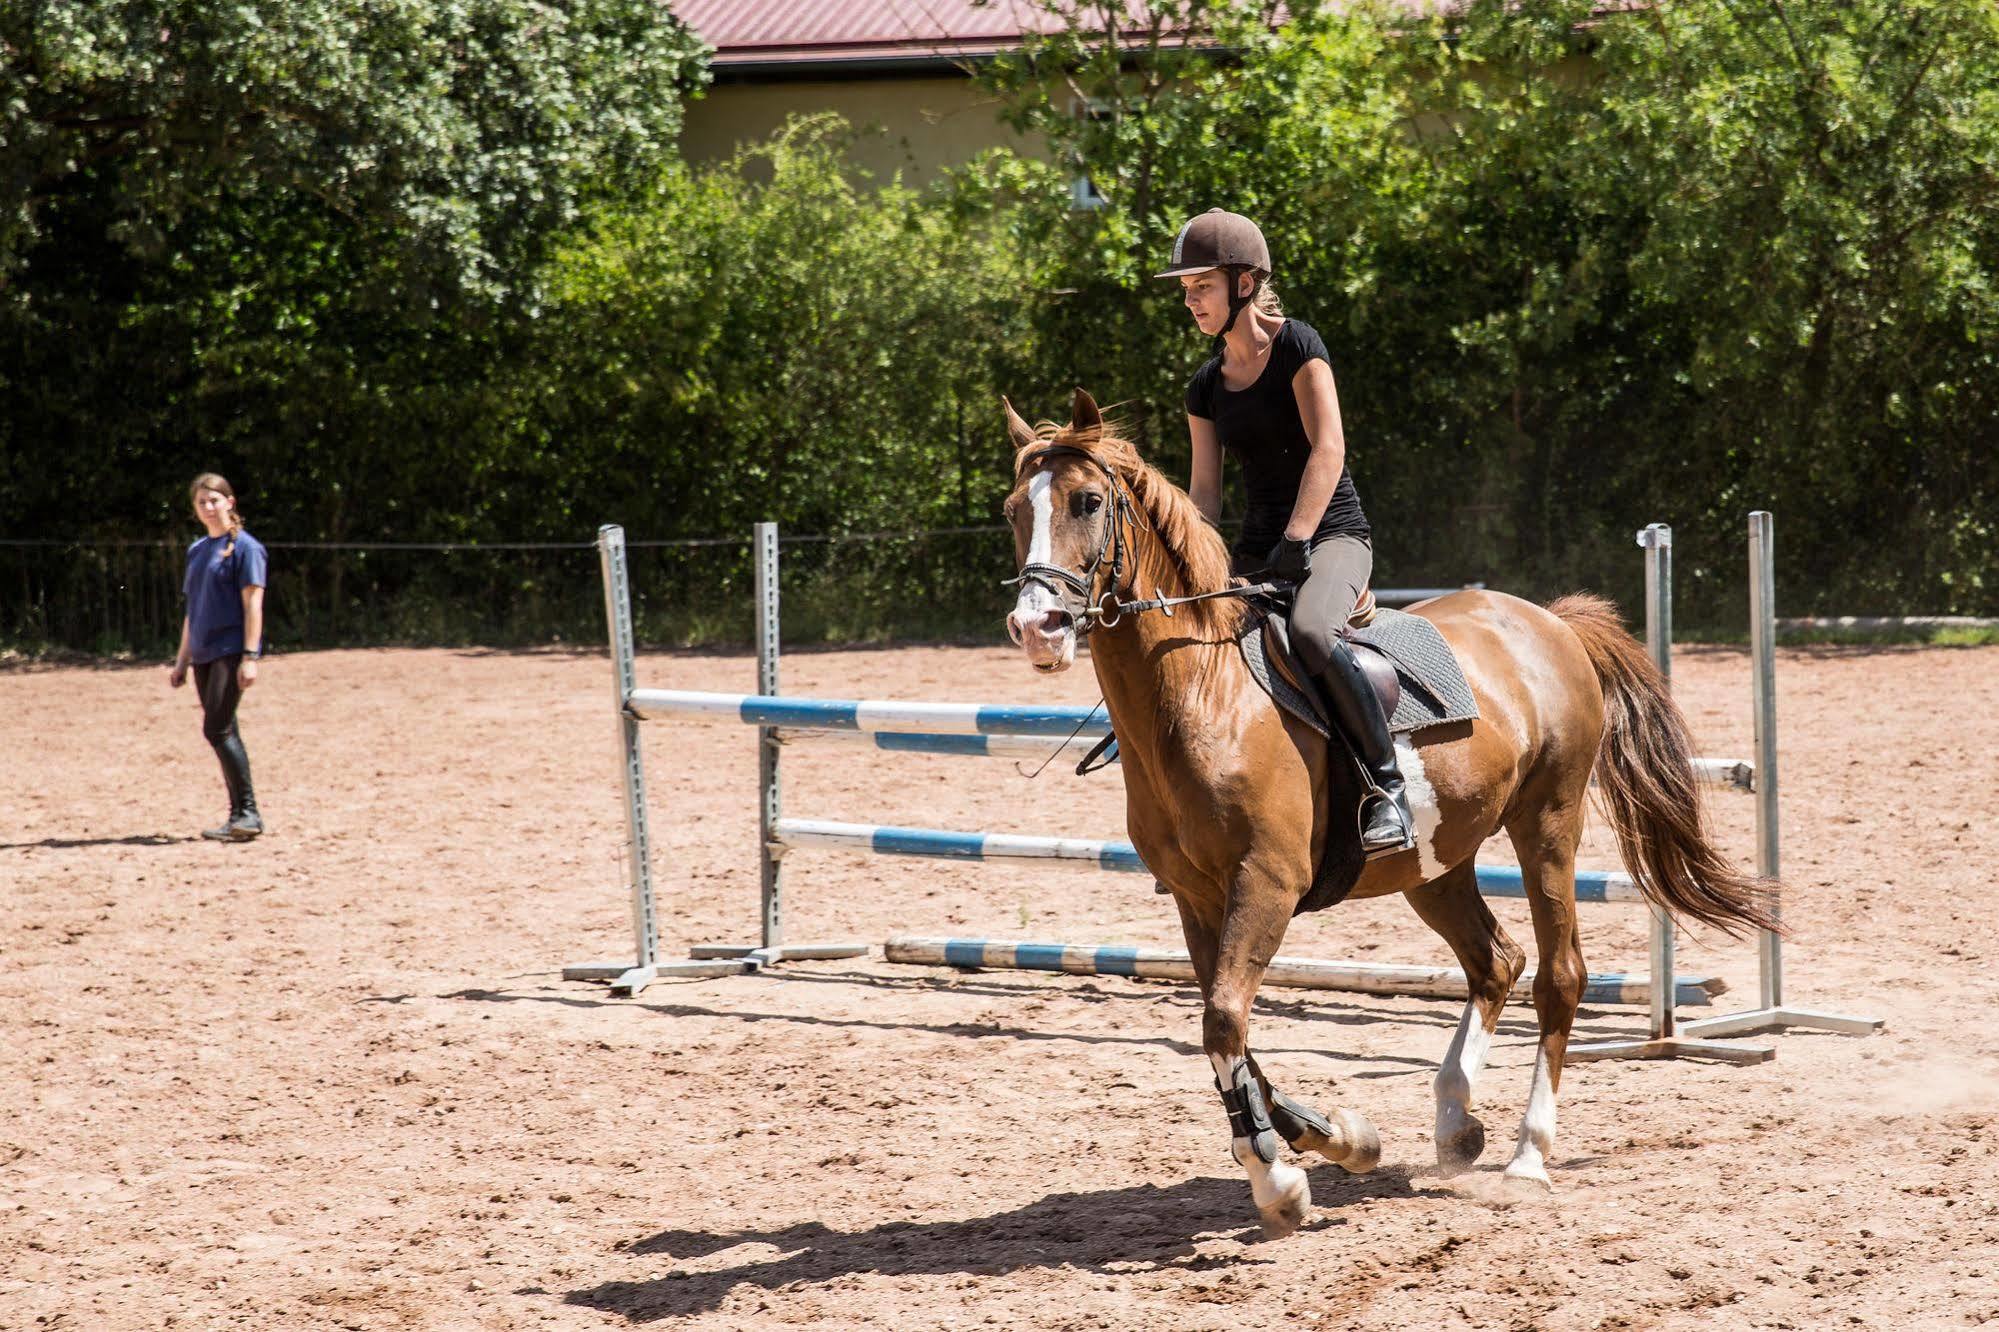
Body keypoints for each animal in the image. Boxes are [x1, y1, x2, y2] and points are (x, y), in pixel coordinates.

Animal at [999, 390, 1783, 1232]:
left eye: (1087, 501)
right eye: (1014, 509)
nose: (1037, 628)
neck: (1203, 695)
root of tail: (1550, 622)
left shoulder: (1265, 884)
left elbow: (1222, 1021)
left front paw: (1279, 1181)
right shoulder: (1196, 898)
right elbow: (1229, 1032)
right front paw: (1333, 1140)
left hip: (1547, 824)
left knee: (1557, 975)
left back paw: (1527, 1156)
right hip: (1435, 863)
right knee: (1494, 960)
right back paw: (1456, 1121)